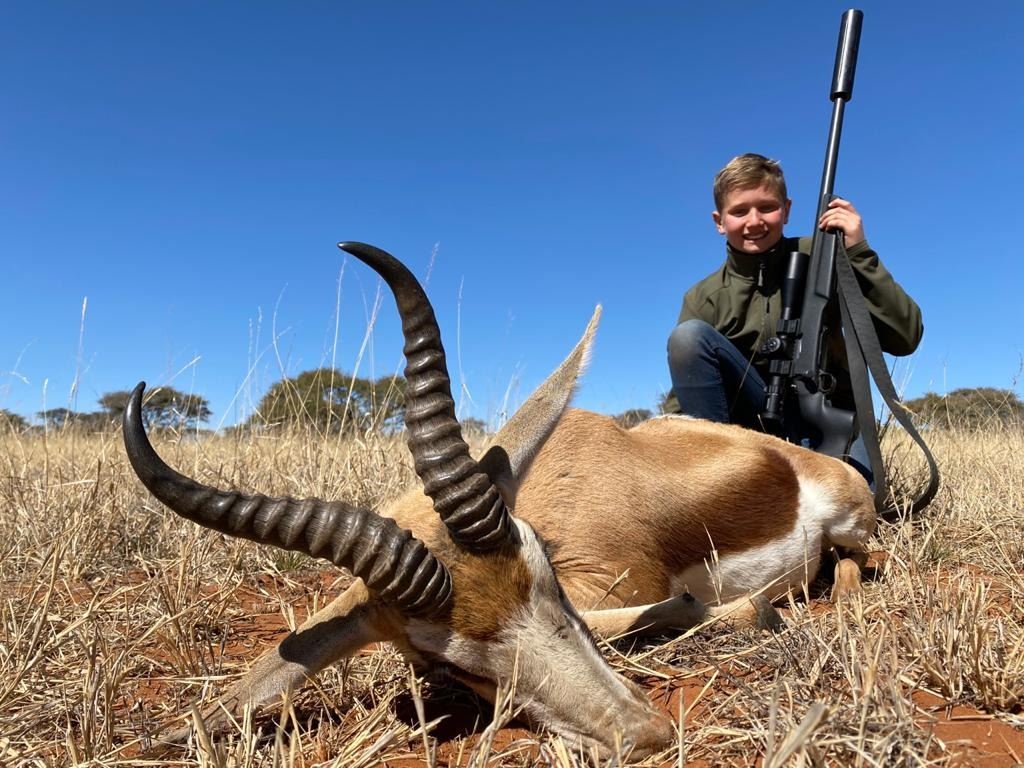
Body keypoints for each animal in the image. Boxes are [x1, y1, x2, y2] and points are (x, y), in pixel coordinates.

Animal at [123, 242, 876, 759]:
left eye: (544, 578)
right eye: (444, 663)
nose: (643, 733)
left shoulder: (612, 580)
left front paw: (735, 612)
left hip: (855, 525)